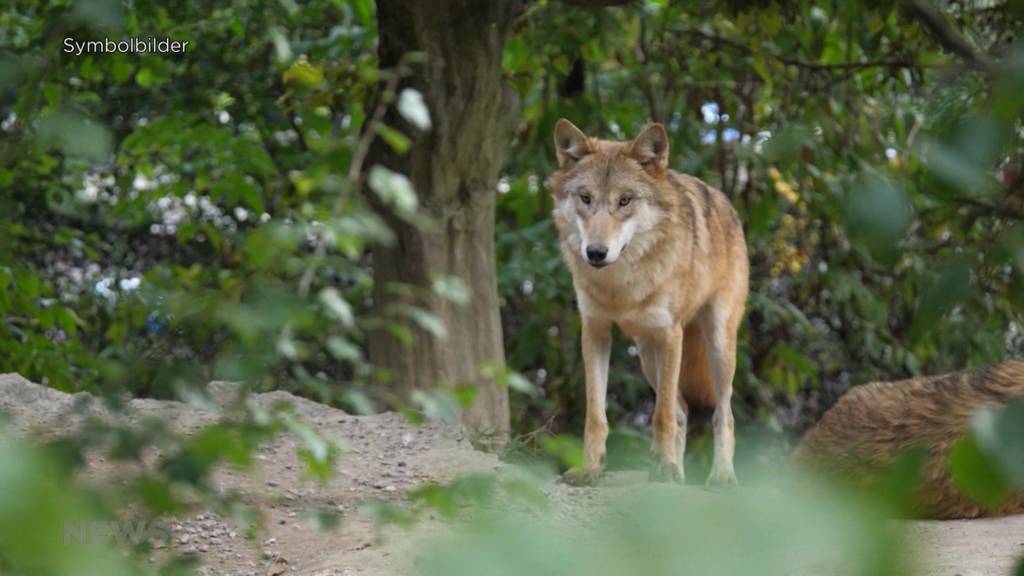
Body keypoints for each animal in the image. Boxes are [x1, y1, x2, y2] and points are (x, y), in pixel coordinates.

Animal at [548, 117, 749, 483]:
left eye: (625, 200)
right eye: (585, 198)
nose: (595, 252)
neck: (620, 286)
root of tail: (724, 199)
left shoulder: (671, 335)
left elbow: (662, 415)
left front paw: (666, 465)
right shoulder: (595, 331)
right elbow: (596, 415)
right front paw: (590, 468)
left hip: (717, 345)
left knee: (721, 415)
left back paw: (720, 476)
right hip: (646, 355)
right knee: (682, 410)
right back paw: (677, 474)